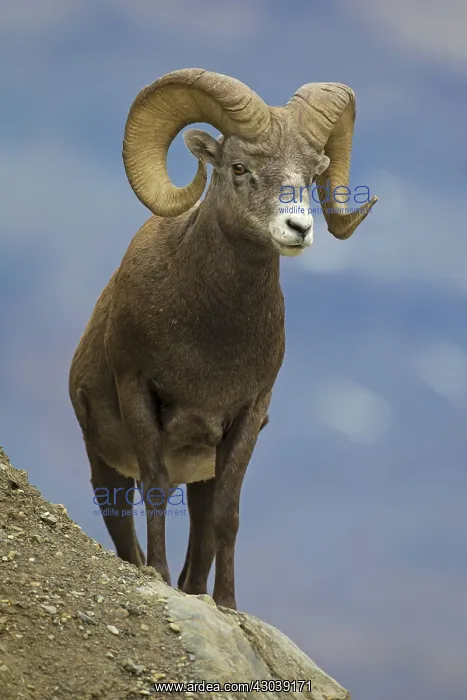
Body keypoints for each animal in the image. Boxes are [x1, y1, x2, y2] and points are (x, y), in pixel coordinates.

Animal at [69, 68, 377, 610]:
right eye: (239, 167)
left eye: (311, 171)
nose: (298, 227)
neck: (209, 342)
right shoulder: (138, 393)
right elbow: (155, 491)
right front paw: (158, 577)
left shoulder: (246, 416)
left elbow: (227, 516)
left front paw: (228, 604)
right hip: (105, 466)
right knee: (124, 530)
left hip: (199, 476)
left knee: (200, 539)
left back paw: (197, 592)